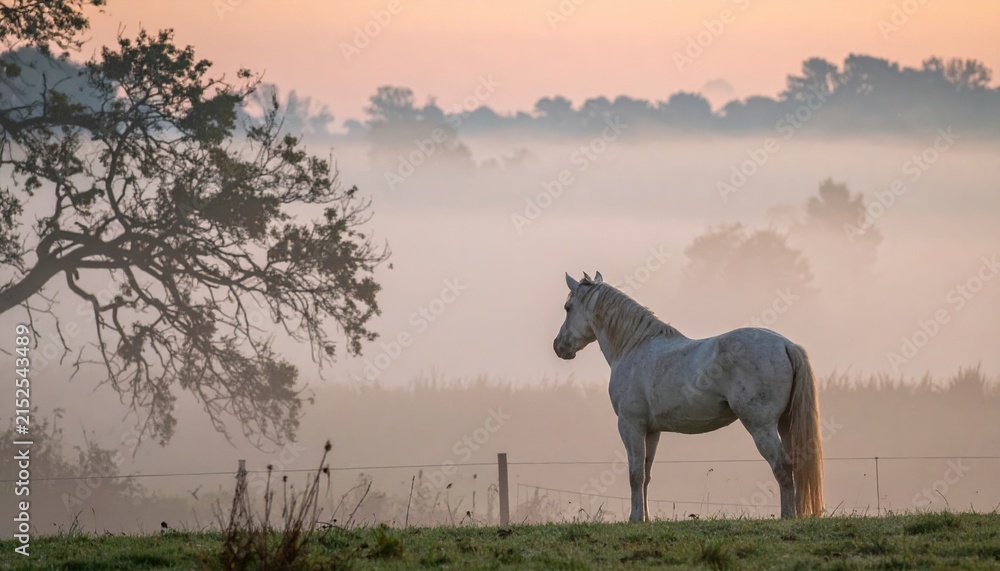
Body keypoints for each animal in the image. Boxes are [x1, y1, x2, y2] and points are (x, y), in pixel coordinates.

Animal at [553, 271, 823, 520]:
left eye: (568, 308)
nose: (559, 346)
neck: (633, 348)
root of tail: (785, 345)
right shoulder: (652, 431)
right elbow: (646, 475)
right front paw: (646, 518)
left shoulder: (631, 426)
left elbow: (635, 474)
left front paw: (634, 518)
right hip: (785, 424)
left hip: (761, 425)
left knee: (782, 465)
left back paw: (787, 516)